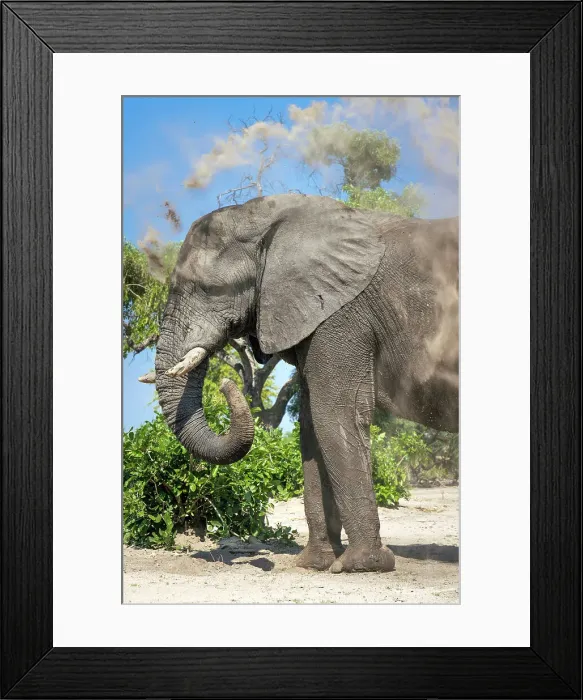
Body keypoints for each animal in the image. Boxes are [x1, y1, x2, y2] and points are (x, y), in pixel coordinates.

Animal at [149, 193, 459, 573]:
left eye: (210, 289)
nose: (226, 381)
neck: (272, 218)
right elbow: (312, 428)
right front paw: (315, 564)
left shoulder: (342, 314)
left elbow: (335, 414)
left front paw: (361, 565)